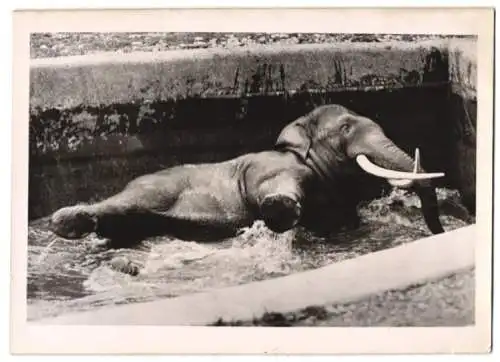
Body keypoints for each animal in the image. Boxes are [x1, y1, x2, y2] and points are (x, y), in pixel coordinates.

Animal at [49, 104, 446, 274]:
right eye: (346, 128)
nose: (439, 234)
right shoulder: (273, 166)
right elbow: (274, 189)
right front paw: (281, 210)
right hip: (152, 189)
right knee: (123, 205)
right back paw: (66, 222)